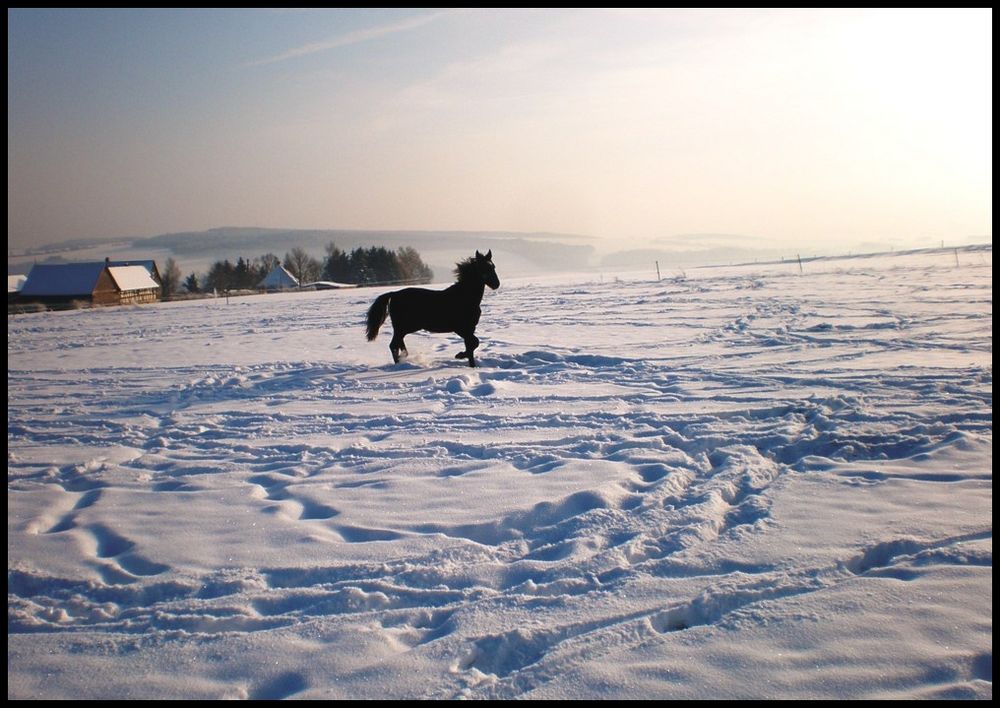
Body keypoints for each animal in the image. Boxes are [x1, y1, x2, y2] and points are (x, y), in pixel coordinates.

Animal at [366, 250, 500, 370]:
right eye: (483, 268)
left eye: (493, 266)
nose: (496, 284)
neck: (465, 297)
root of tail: (393, 294)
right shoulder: (461, 328)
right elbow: (474, 343)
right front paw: (460, 355)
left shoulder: (470, 328)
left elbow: (471, 346)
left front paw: (471, 365)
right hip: (403, 327)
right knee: (393, 345)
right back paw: (401, 364)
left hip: (406, 328)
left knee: (399, 343)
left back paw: (405, 359)